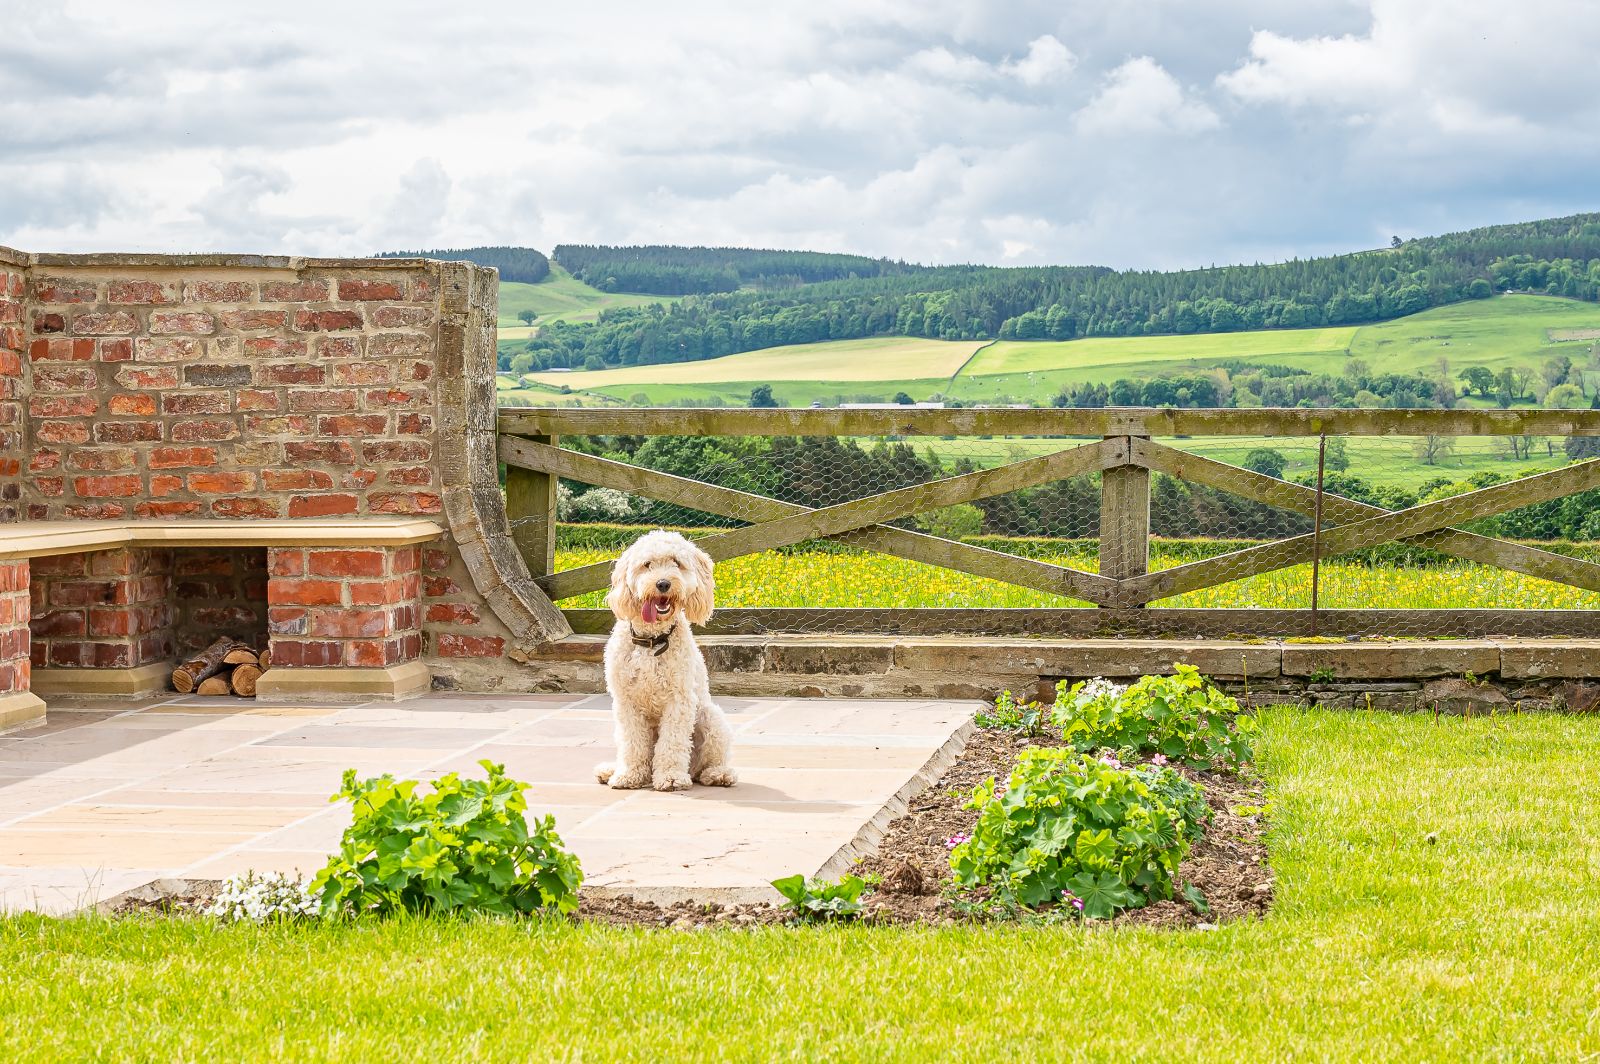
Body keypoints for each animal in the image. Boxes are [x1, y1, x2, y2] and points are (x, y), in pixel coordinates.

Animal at [595, 528, 736, 787]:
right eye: (647, 565)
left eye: (676, 563)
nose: (663, 583)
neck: (652, 641)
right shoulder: (626, 702)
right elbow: (632, 743)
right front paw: (629, 774)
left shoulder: (679, 700)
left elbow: (672, 742)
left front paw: (670, 777)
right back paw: (612, 769)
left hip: (710, 717)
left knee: (707, 762)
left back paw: (717, 774)